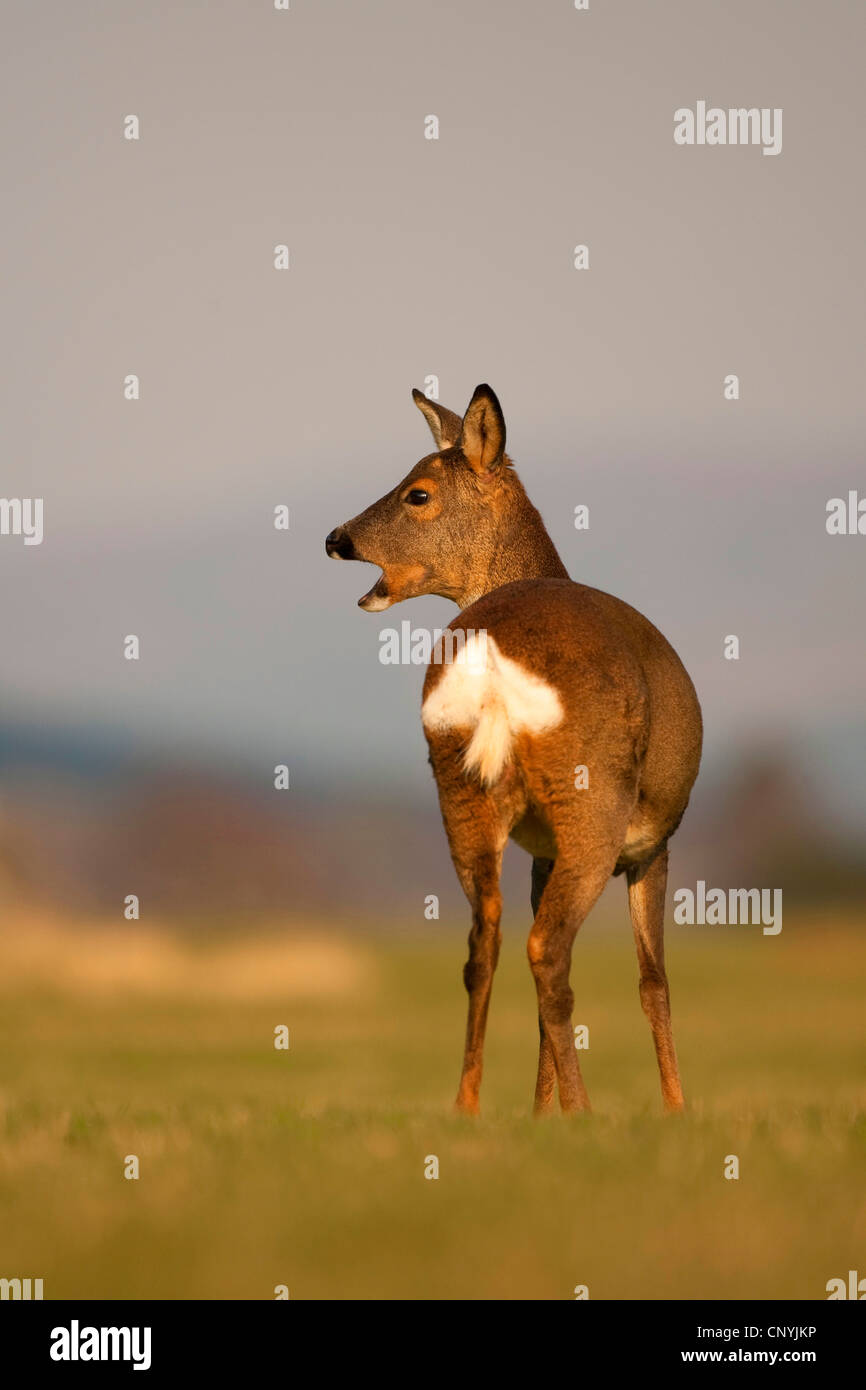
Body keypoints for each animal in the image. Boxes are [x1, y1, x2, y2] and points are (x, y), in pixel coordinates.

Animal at [326, 383, 706, 1117]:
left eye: (417, 492)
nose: (336, 538)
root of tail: (494, 662)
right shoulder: (655, 840)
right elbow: (654, 980)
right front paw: (676, 1111)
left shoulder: (538, 849)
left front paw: (537, 1115)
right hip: (592, 805)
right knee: (548, 951)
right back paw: (583, 1113)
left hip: (462, 794)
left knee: (484, 943)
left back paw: (468, 1106)